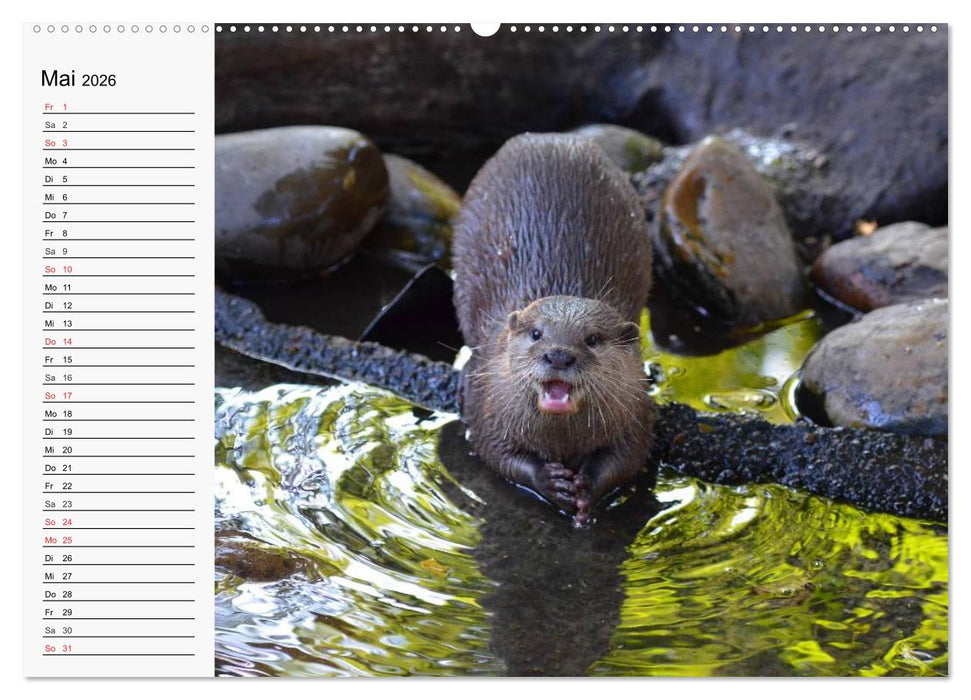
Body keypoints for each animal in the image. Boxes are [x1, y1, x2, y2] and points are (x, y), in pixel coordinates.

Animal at [452, 133, 657, 526]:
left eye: (592, 339)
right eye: (536, 334)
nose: (559, 355)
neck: (562, 440)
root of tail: (552, 138)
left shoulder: (636, 409)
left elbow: (628, 457)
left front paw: (587, 487)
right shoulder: (488, 404)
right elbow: (493, 451)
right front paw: (549, 482)